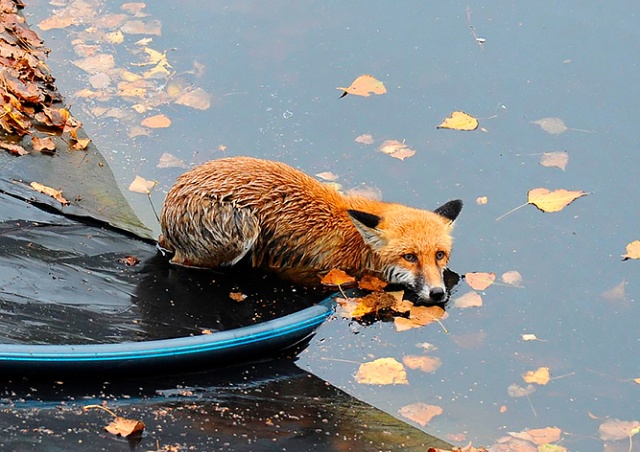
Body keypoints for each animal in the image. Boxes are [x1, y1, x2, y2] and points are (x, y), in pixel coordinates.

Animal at [158, 157, 462, 302]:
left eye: (439, 255)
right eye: (409, 257)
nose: (438, 294)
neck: (356, 244)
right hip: (242, 232)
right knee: (181, 262)